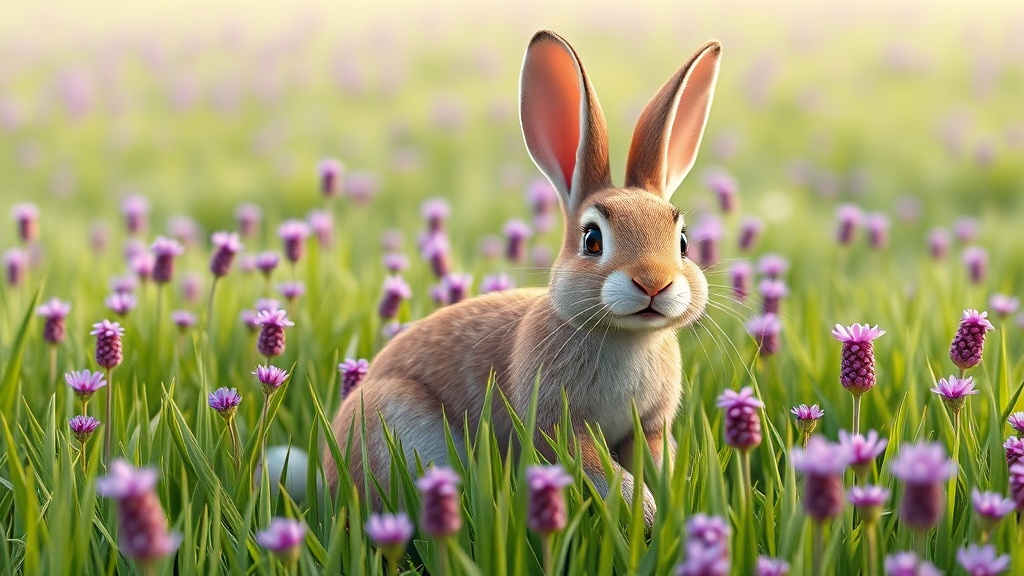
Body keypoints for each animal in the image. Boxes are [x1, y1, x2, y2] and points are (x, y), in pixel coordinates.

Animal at [325, 29, 721, 525]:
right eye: (592, 239)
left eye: (682, 241)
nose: (654, 283)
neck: (624, 336)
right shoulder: (558, 424)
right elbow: (601, 470)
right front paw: (644, 513)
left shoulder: (648, 427)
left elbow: (655, 460)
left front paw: (668, 509)